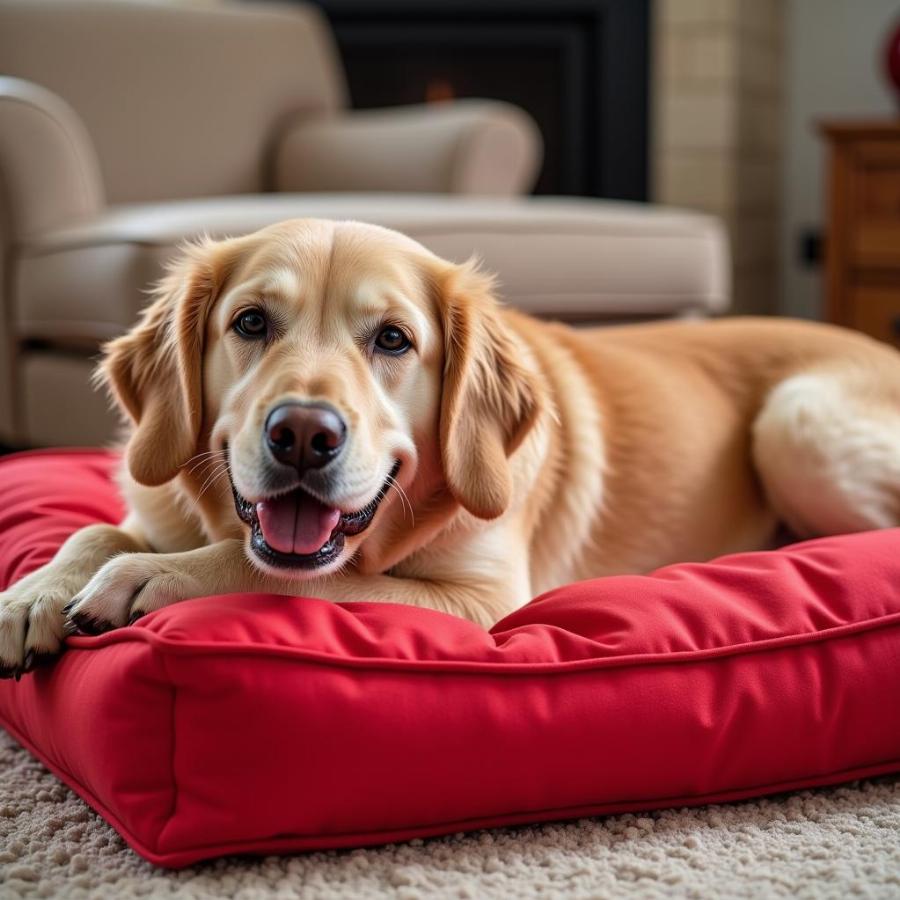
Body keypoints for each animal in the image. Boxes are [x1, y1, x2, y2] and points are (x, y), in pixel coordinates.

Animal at [1, 220, 900, 676]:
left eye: (394, 340)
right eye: (251, 323)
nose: (303, 436)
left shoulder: (486, 603)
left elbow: (304, 579)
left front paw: (154, 577)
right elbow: (94, 530)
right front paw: (33, 594)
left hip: (795, 423)